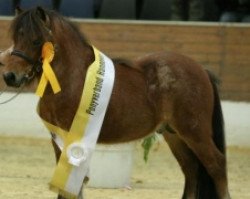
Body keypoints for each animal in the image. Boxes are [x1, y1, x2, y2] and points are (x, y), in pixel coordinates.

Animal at [0, 6, 230, 199]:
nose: (10, 76)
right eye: (15, 38)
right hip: (174, 135)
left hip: (194, 132)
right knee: (191, 170)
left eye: (36, 41)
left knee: (216, 165)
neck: (73, 78)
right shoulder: (58, 137)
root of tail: (201, 70)